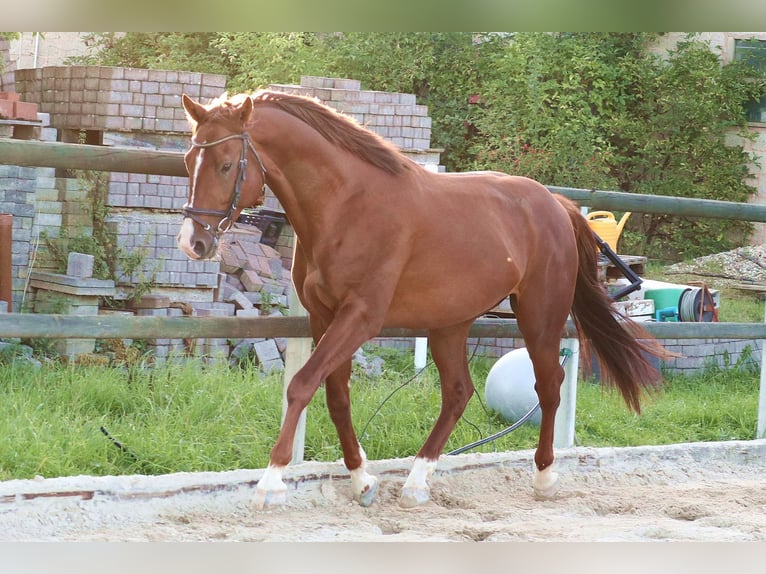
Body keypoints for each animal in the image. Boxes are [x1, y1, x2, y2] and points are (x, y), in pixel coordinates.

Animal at [176, 92, 664, 510]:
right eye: (188, 161)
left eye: (225, 164)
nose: (193, 243)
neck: (345, 207)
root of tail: (555, 204)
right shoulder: (323, 316)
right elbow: (336, 397)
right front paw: (363, 481)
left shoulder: (360, 317)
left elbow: (301, 385)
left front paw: (271, 484)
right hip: (451, 323)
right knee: (458, 392)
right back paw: (416, 482)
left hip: (539, 316)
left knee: (548, 386)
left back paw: (543, 478)